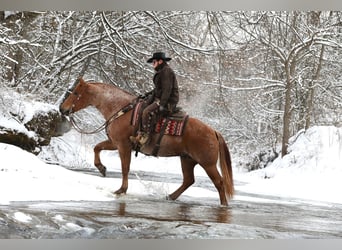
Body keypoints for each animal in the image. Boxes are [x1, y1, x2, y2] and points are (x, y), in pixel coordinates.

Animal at [60, 78, 234, 205]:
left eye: (75, 92)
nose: (62, 109)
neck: (121, 109)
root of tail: (213, 131)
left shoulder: (123, 146)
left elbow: (125, 168)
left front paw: (121, 190)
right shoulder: (115, 143)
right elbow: (97, 147)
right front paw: (101, 168)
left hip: (208, 164)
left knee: (219, 182)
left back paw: (223, 205)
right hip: (187, 159)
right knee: (188, 180)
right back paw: (170, 196)